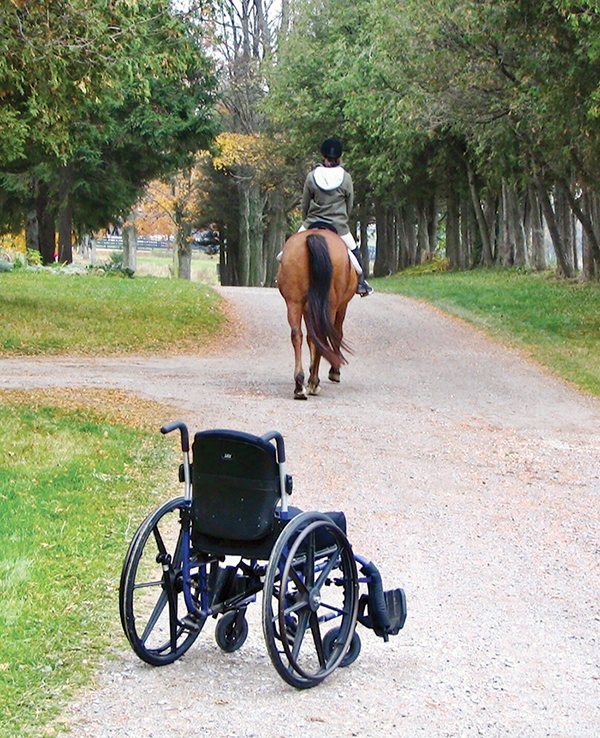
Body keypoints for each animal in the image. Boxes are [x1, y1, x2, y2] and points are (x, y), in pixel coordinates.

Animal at [276, 230, 356, 400]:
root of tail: (314, 235)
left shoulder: (307, 308)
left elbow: (310, 338)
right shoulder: (341, 306)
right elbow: (336, 335)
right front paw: (334, 372)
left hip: (294, 302)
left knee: (297, 335)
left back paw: (299, 385)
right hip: (330, 306)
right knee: (323, 336)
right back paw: (313, 383)